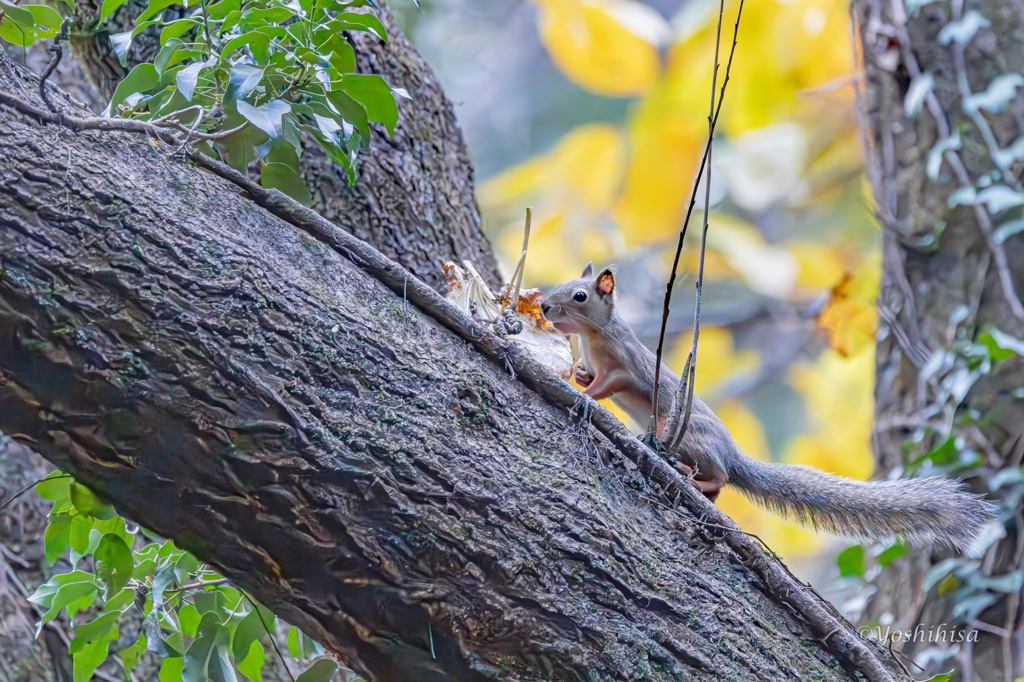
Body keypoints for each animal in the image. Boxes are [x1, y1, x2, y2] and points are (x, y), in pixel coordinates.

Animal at [544, 260, 999, 548]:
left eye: (580, 296)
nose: (545, 306)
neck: (593, 336)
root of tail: (733, 454)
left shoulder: (627, 366)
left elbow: (614, 383)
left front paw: (585, 394)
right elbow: (590, 375)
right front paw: (578, 376)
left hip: (692, 437)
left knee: (721, 477)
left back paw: (692, 475)